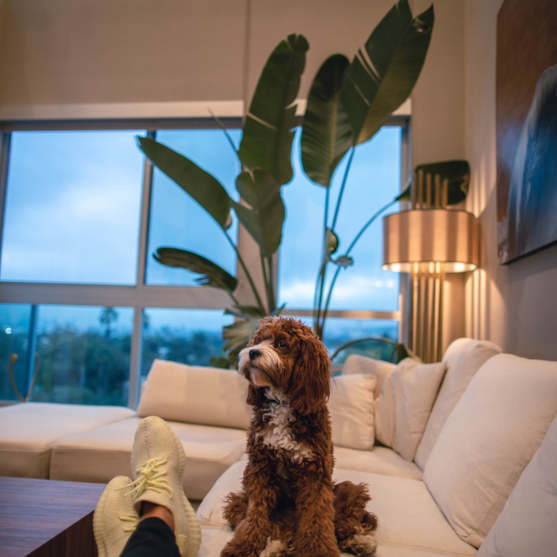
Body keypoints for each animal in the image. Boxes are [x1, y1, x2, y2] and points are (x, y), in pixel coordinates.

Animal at [219, 318, 376, 556]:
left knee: (342, 524)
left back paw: (359, 541)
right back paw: (276, 546)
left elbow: (317, 518)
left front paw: (318, 551)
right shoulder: (259, 468)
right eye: (259, 340)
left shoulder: (314, 473)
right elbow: (255, 514)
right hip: (239, 500)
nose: (253, 352)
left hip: (349, 489)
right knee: (279, 527)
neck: (282, 402)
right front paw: (243, 545)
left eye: (282, 344)